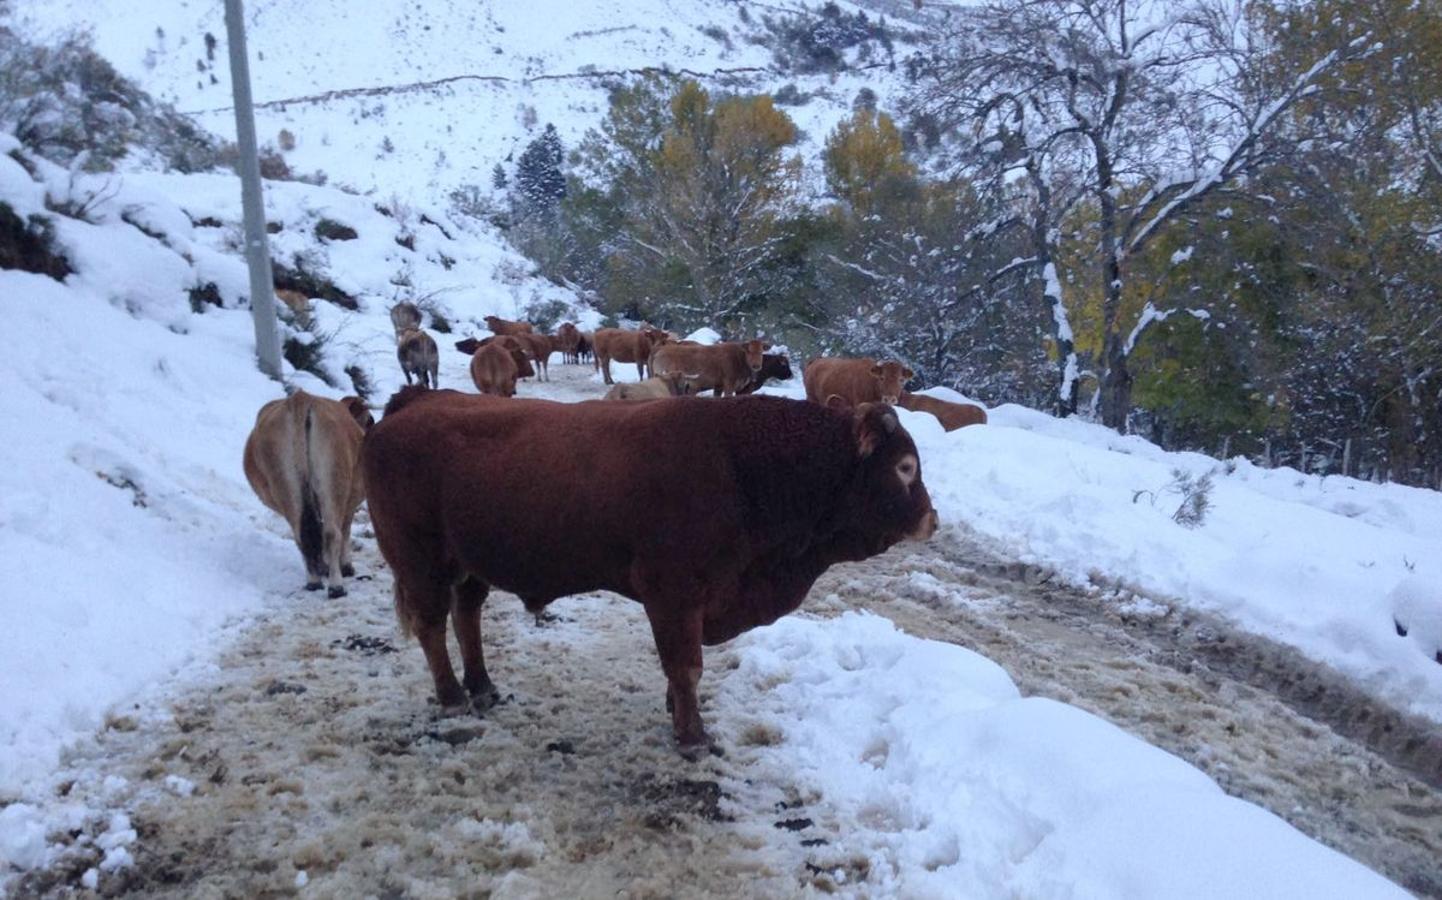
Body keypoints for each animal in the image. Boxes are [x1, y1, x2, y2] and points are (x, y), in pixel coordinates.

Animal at [366, 389, 940, 750]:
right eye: (904, 467)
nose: (931, 519)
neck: (743, 468)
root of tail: (415, 401)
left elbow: (679, 668)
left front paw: (677, 712)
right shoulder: (674, 593)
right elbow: (686, 666)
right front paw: (692, 736)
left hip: (469, 563)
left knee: (467, 615)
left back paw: (483, 686)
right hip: (420, 560)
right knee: (431, 625)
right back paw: (453, 697)